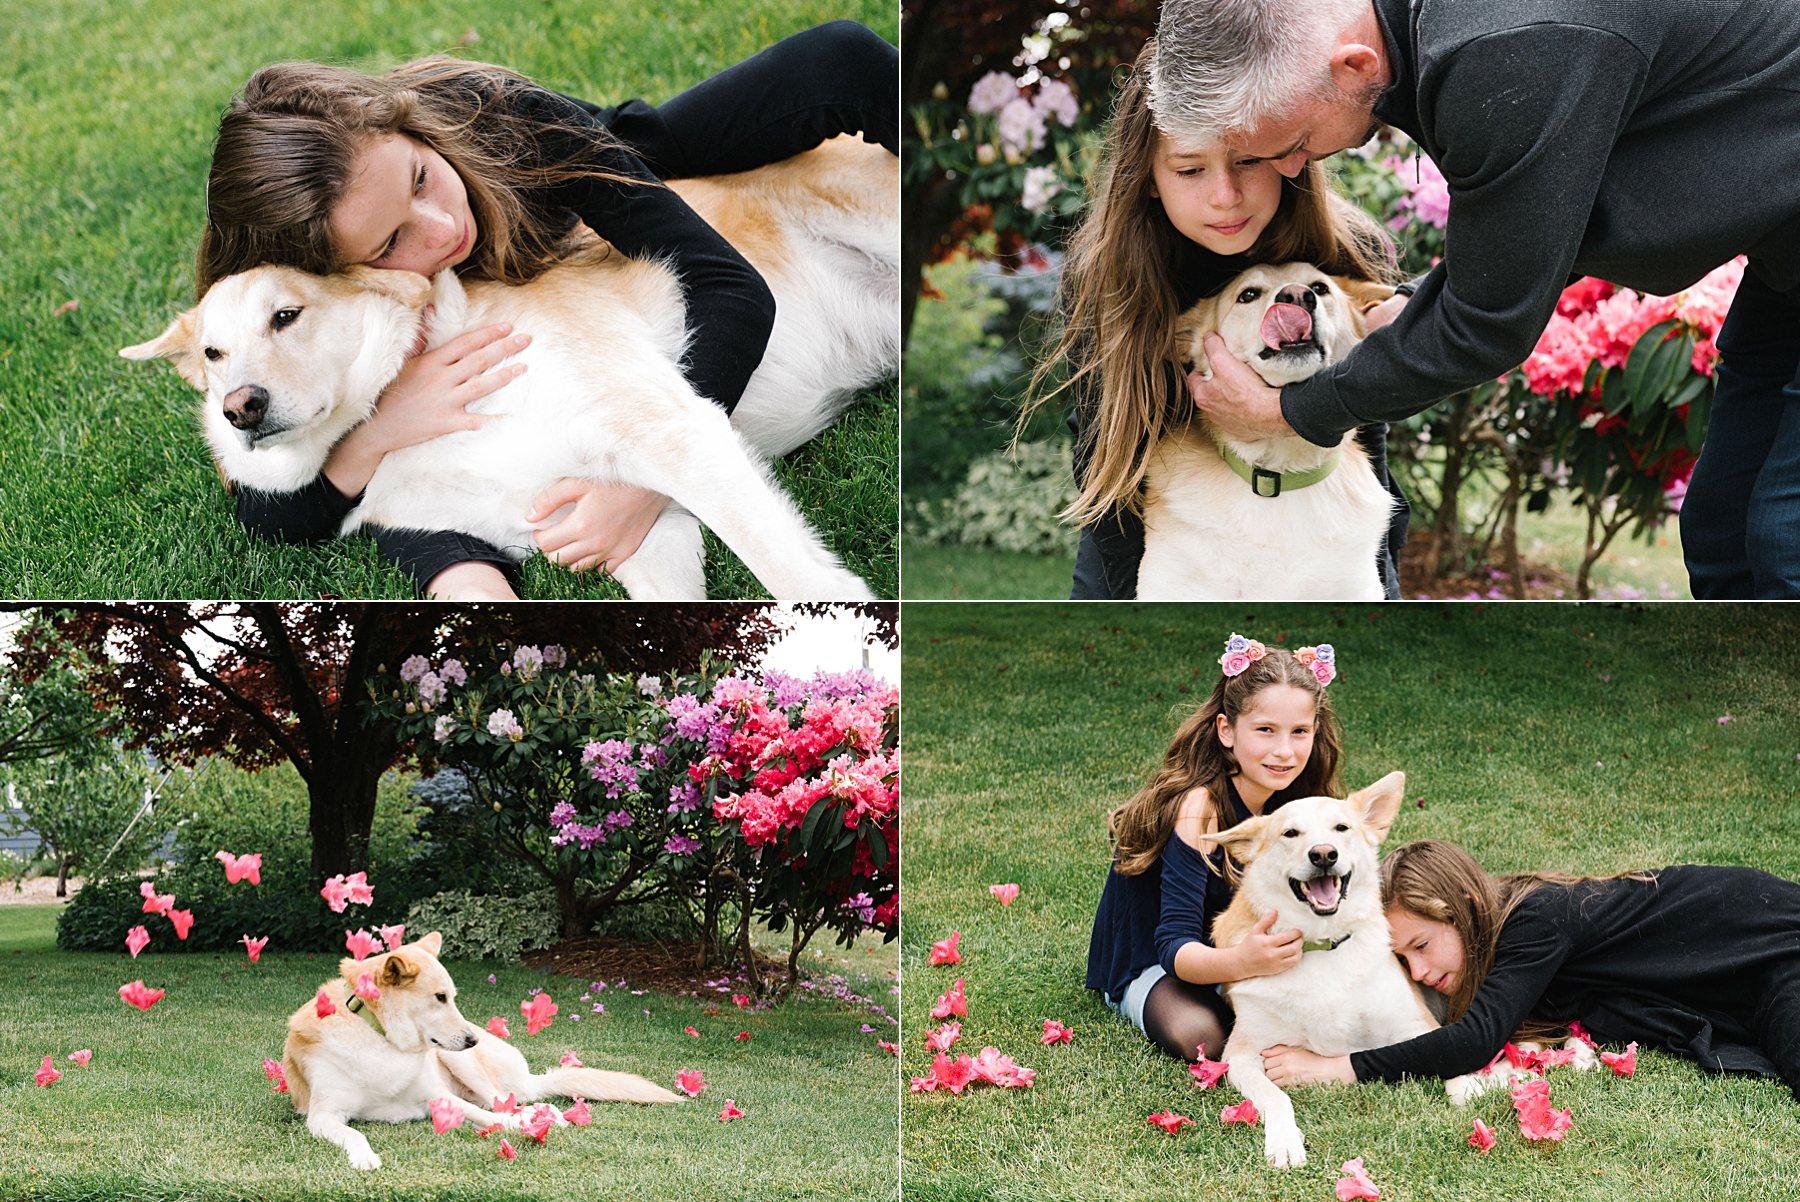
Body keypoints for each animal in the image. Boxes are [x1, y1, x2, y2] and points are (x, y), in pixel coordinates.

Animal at [119, 135, 892, 601]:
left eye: (286, 316)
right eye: (213, 354)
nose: (239, 406)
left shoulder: (671, 430)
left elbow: (796, 578)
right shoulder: (638, 531)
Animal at [284, 928, 676, 1173]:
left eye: (453, 996)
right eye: (440, 997)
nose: (472, 1039)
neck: (381, 1036)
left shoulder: (439, 1097)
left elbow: (494, 1119)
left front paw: (522, 1126)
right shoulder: (322, 1115)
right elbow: (355, 1133)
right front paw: (364, 1157)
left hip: (462, 1064)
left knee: (507, 1102)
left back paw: (543, 1114)